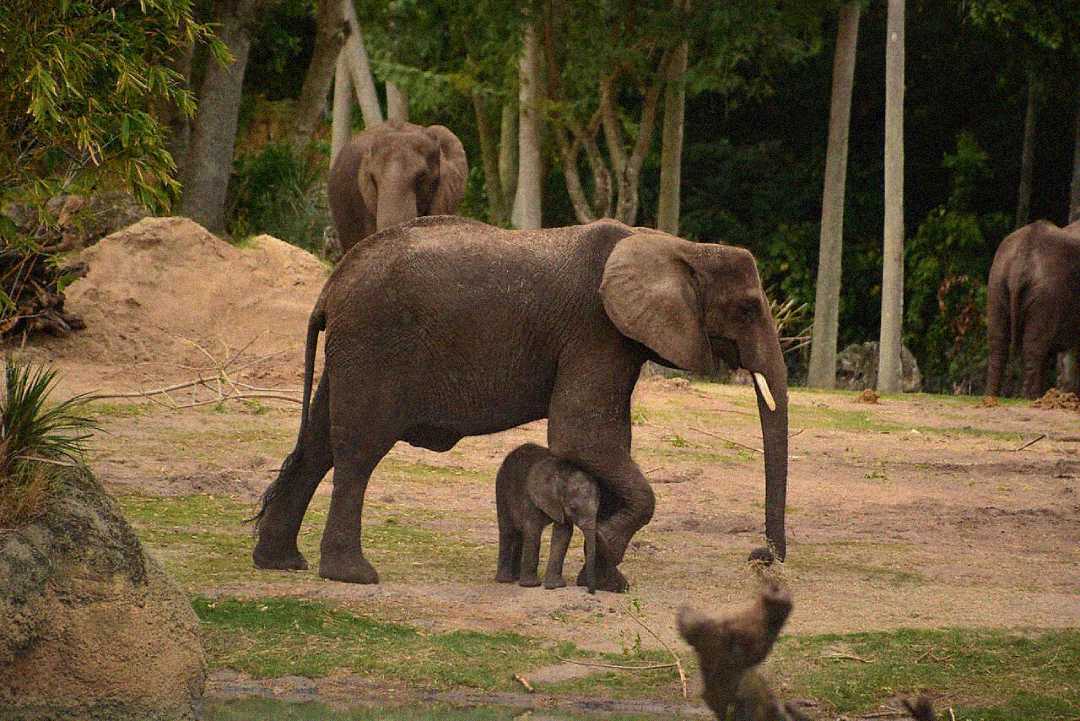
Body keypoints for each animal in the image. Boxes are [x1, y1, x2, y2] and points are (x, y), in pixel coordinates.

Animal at [494, 443, 599, 593]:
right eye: (573, 507)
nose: (591, 591)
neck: (563, 474)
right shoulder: (531, 497)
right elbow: (533, 531)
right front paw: (531, 585)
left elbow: (563, 533)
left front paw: (555, 586)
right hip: (502, 489)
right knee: (508, 531)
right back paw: (505, 580)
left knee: (520, 533)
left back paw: (516, 577)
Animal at [986, 219, 1080, 398]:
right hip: (1047, 292)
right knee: (1035, 346)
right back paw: (1030, 398)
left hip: (997, 281)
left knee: (998, 342)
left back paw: (992, 396)